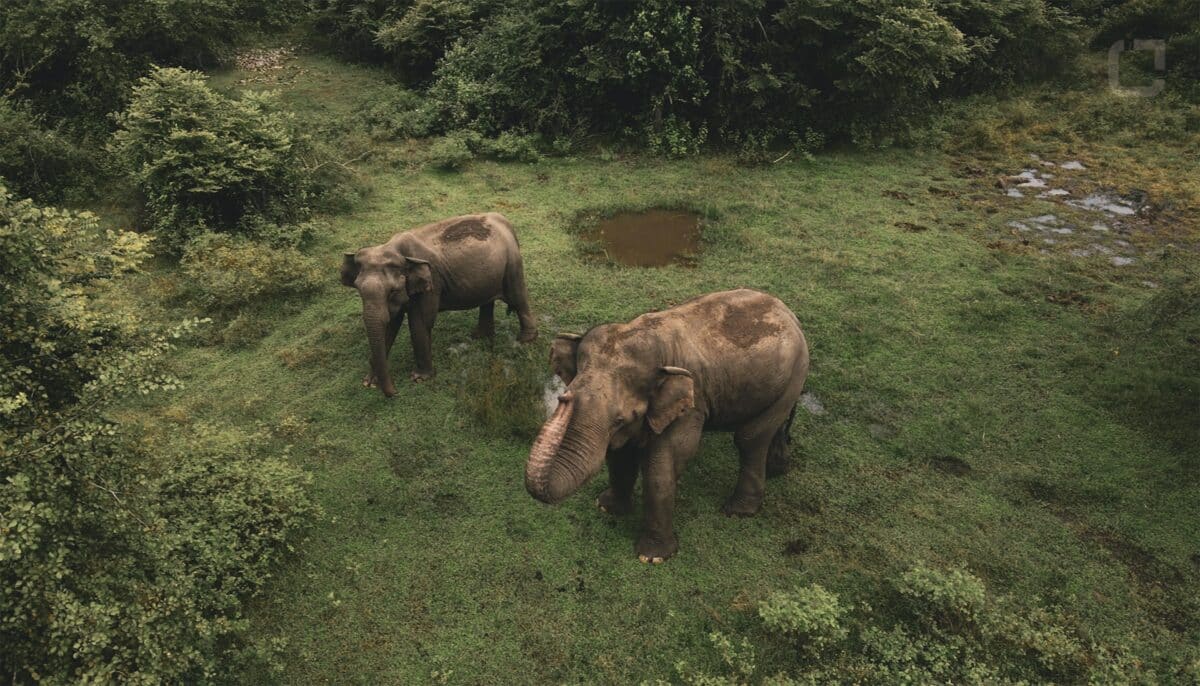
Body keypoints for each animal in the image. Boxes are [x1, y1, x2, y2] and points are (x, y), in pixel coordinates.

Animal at [343, 213, 540, 395]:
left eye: (392, 291)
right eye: (358, 290)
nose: (395, 392)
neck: (394, 249)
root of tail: (504, 221)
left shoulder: (432, 283)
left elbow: (420, 322)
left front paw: (419, 379)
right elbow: (390, 325)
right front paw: (369, 382)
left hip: (512, 264)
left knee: (518, 297)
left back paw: (525, 340)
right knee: (489, 301)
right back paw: (479, 336)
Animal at [523, 289, 806, 563]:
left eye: (620, 419)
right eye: (567, 390)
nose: (564, 398)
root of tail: (789, 313)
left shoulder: (691, 405)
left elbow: (664, 464)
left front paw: (652, 557)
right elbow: (620, 456)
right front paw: (606, 507)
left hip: (794, 374)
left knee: (750, 438)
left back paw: (737, 511)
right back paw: (778, 469)